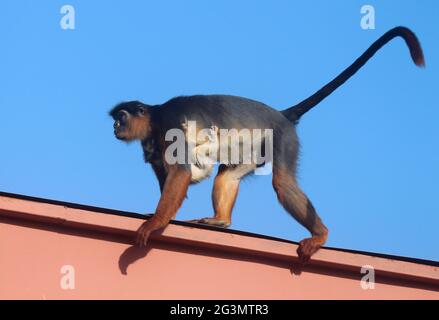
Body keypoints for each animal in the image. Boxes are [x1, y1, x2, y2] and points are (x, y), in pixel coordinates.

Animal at [110, 26, 426, 262]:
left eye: (121, 117)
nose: (115, 126)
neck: (155, 117)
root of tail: (281, 115)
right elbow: (170, 177)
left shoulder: (170, 124)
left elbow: (181, 173)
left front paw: (155, 223)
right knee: (227, 174)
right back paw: (220, 221)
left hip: (282, 137)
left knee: (282, 183)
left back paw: (320, 234)